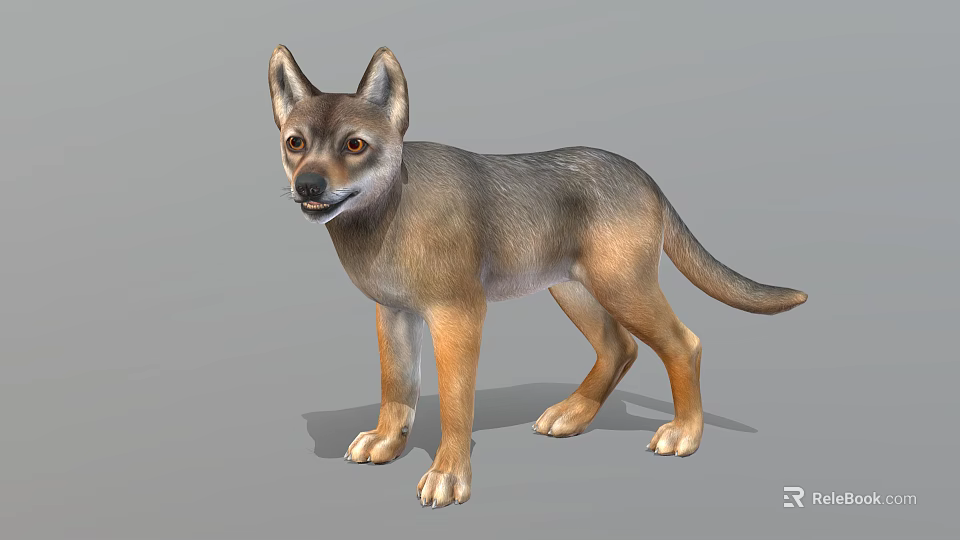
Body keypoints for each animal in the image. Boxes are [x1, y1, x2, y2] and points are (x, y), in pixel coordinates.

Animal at [268, 45, 807, 508]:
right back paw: (573, 413)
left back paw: (685, 433)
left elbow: (454, 405)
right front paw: (387, 441)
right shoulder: (395, 314)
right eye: (296, 143)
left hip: (622, 288)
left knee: (683, 343)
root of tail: (643, 175)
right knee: (621, 347)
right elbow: (396, 386)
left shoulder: (458, 316)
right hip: (573, 289)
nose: (308, 185)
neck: (390, 213)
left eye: (355, 145)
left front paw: (448, 475)